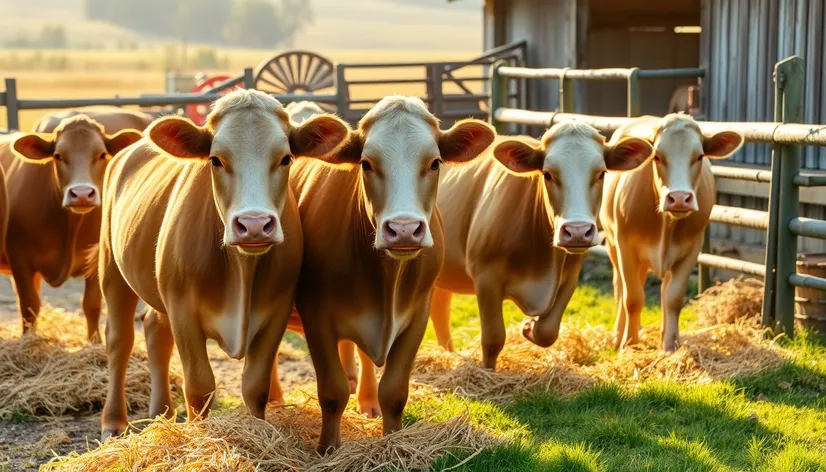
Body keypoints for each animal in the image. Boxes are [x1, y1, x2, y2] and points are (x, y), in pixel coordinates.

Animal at [2, 109, 148, 342]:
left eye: (101, 155)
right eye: (58, 156)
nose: (81, 194)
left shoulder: (96, 257)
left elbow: (91, 304)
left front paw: (94, 342)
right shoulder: (19, 258)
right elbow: (29, 305)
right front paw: (29, 340)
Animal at [98, 89, 352, 438]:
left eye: (285, 158)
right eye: (215, 159)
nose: (254, 224)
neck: (240, 270)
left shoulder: (276, 312)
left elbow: (255, 386)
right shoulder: (183, 310)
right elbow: (199, 387)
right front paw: (197, 437)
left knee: (155, 331)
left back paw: (162, 412)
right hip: (112, 269)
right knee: (119, 341)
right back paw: (113, 422)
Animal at [286, 96, 492, 454]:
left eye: (435, 162)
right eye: (366, 163)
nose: (404, 229)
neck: (386, 277)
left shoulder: (417, 315)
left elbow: (394, 391)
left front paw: (392, 440)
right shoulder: (316, 316)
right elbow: (332, 391)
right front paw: (328, 449)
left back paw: (367, 399)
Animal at [428, 123, 652, 370]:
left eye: (601, 173)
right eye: (547, 174)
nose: (577, 231)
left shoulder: (570, 276)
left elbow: (548, 331)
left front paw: (528, 328)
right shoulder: (485, 275)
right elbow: (493, 338)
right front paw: (488, 373)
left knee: (439, 308)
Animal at [600, 114, 740, 350]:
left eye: (699, 156)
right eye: (657, 156)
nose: (680, 198)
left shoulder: (691, 249)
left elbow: (673, 298)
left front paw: (671, 345)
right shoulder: (625, 246)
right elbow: (632, 298)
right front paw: (629, 344)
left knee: (663, 290)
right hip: (612, 245)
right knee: (620, 288)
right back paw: (619, 335)